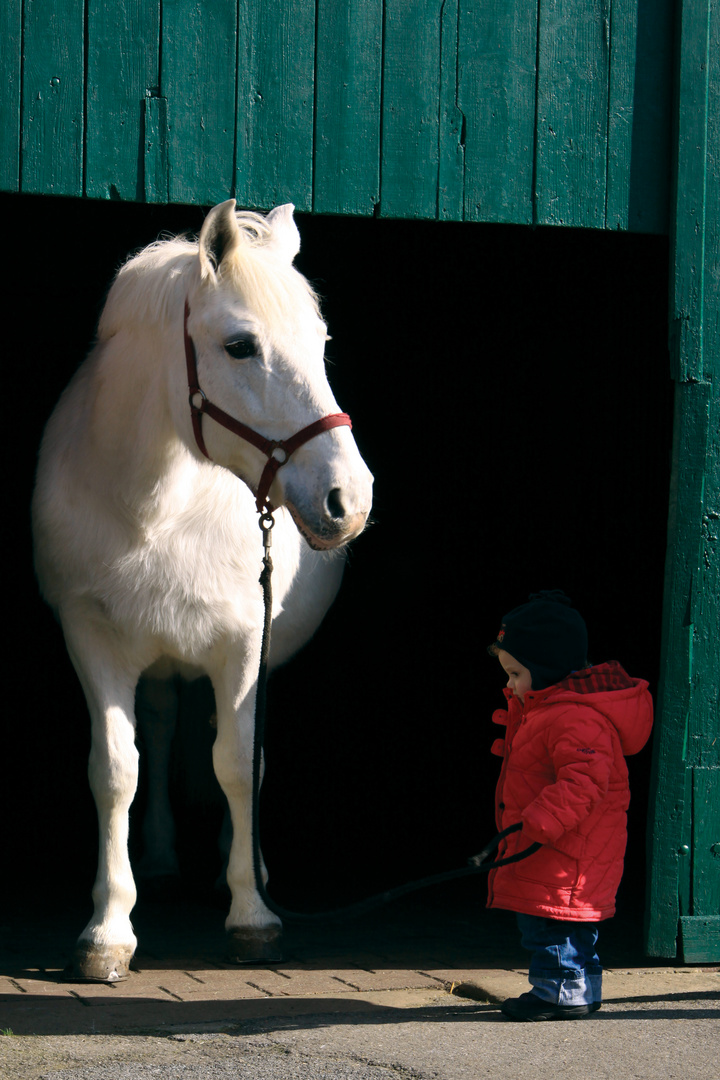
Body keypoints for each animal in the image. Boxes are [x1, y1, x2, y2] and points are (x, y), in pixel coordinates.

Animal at [31, 198, 375, 984]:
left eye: (321, 342)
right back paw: (160, 859)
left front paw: (253, 915)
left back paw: (238, 867)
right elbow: (116, 771)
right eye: (241, 346)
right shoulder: (91, 638)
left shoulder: (244, 644)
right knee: (159, 728)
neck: (156, 508)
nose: (349, 498)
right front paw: (108, 929)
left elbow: (237, 764)